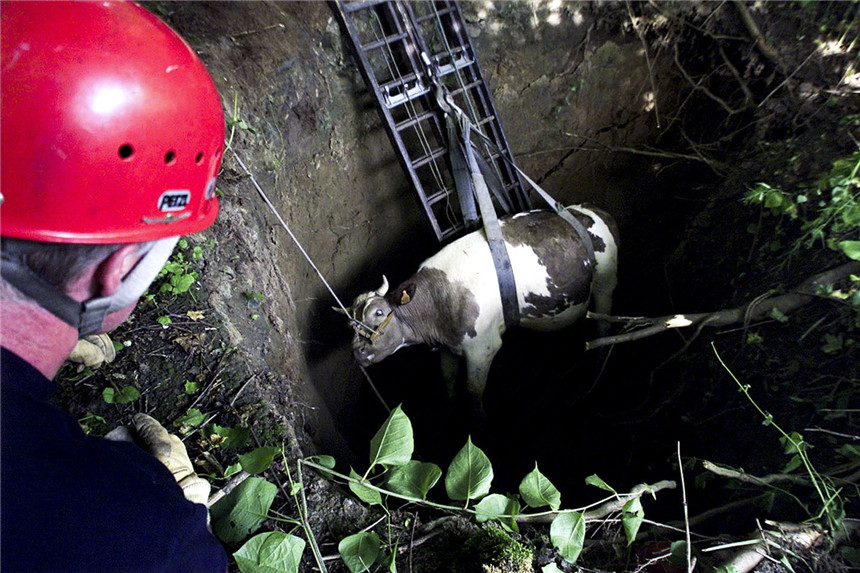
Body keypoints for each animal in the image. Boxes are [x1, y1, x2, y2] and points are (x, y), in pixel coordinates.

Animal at [338, 203, 620, 414]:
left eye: (378, 313)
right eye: (350, 324)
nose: (357, 352)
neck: (438, 300)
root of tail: (595, 210)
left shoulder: (482, 348)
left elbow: (473, 396)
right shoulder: (448, 348)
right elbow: (450, 384)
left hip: (605, 283)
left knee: (603, 325)